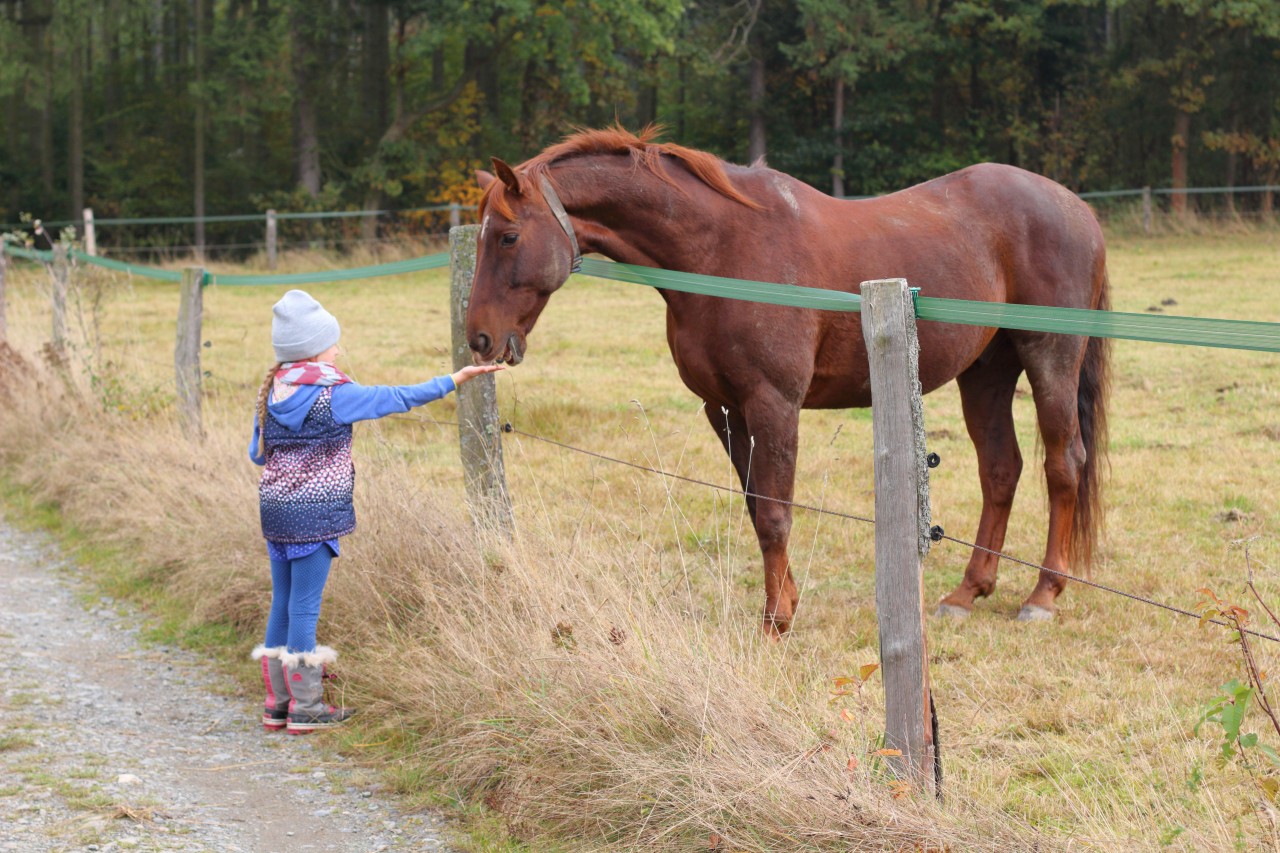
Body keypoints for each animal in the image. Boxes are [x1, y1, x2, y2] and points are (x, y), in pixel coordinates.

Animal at [465, 124, 1105, 630]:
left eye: (509, 236)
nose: (478, 339)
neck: (722, 251)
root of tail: (1077, 208)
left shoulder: (773, 403)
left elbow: (775, 513)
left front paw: (776, 619)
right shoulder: (724, 409)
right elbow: (756, 506)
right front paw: (786, 601)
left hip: (1050, 358)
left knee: (1063, 463)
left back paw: (1042, 595)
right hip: (986, 372)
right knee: (1001, 469)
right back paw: (967, 592)